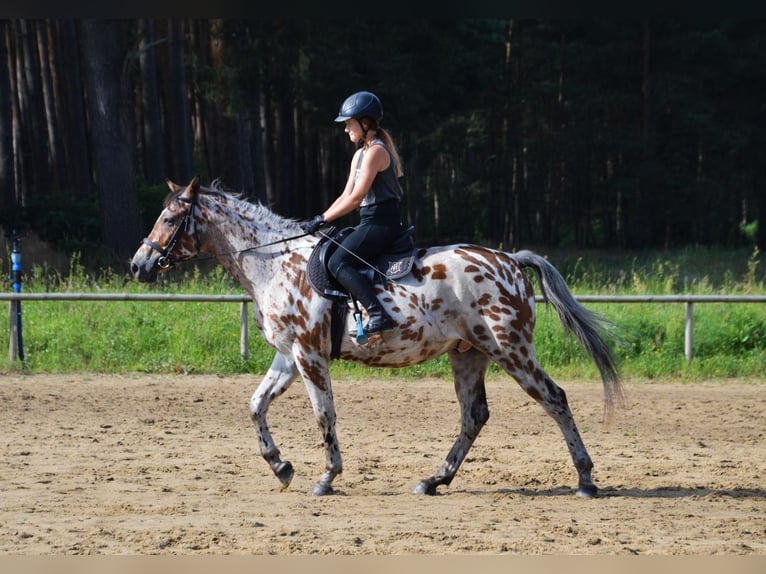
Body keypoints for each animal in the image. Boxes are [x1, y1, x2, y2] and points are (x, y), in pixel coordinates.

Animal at [132, 179, 624, 500]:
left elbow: (324, 415)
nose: (139, 265)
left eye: (170, 217)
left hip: (512, 350)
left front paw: (326, 478)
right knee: (474, 416)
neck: (275, 263)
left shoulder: (310, 356)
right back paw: (434, 480)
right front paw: (281, 466)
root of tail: (510, 260)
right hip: (469, 355)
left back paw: (585, 480)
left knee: (555, 399)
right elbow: (256, 405)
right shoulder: (289, 356)